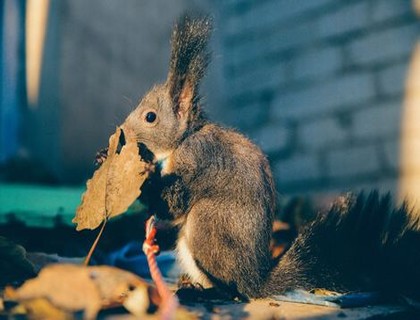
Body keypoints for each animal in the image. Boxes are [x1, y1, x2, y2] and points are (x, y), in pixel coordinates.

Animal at [101, 15, 420, 300]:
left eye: (150, 117)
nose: (121, 135)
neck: (186, 137)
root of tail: (255, 280)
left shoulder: (197, 160)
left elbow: (173, 204)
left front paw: (143, 178)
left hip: (207, 224)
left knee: (234, 292)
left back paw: (203, 293)